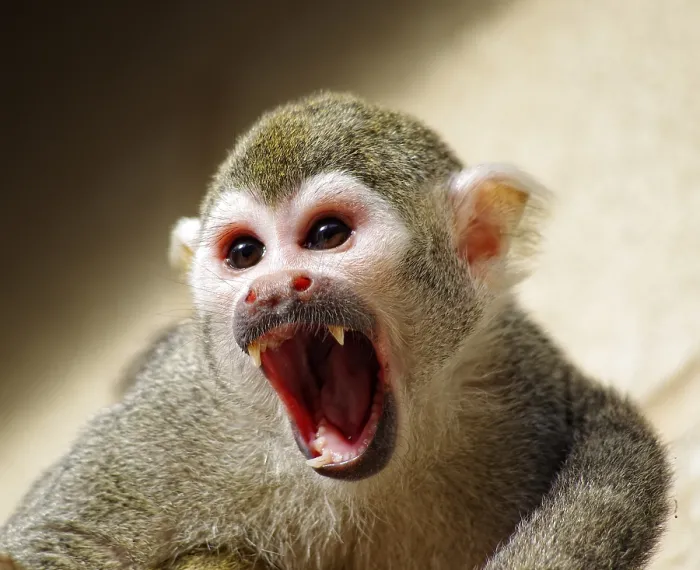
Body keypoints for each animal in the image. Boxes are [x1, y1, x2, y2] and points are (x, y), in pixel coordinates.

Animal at [0, 92, 671, 570]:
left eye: (327, 235)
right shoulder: (175, 408)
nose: (270, 289)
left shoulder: (519, 374)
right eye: (244, 254)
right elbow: (51, 540)